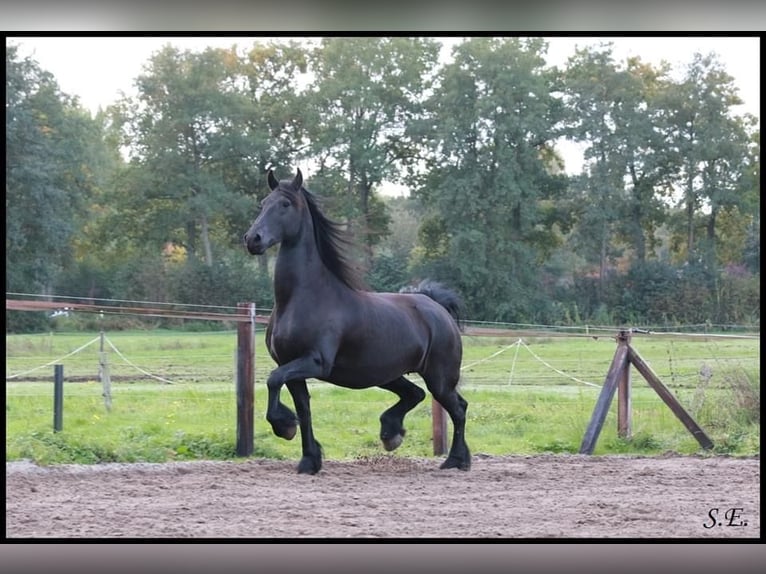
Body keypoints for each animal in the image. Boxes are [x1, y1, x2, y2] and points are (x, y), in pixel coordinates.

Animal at [243, 168, 470, 474]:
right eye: (263, 204)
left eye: (285, 204)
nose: (252, 239)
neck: (303, 298)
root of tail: (436, 307)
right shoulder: (291, 366)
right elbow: (302, 407)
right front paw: (309, 459)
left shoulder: (315, 362)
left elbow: (272, 380)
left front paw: (285, 426)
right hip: (389, 375)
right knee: (416, 395)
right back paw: (392, 433)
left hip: (440, 377)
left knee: (457, 408)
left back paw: (456, 460)